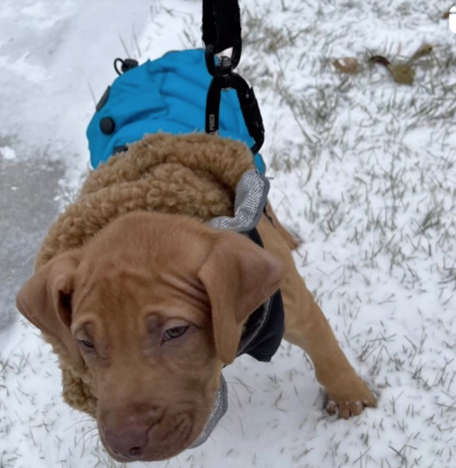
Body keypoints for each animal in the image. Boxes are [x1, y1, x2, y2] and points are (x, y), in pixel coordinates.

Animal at [16, 209, 376, 464]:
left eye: (175, 331)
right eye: (86, 343)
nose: (124, 444)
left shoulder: (294, 309)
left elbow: (327, 358)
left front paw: (351, 400)